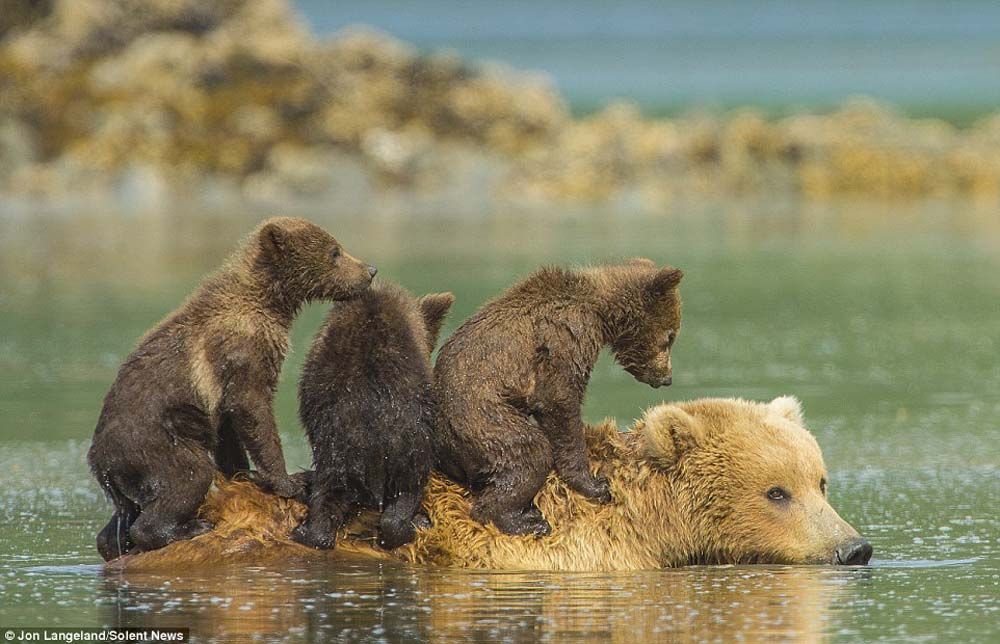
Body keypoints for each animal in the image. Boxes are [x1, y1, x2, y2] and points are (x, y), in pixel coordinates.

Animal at [87, 216, 377, 562]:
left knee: (121, 516)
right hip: (154, 442)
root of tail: (98, 459)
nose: (370, 270)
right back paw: (185, 528)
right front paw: (289, 482)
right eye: (334, 251)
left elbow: (229, 427)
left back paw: (114, 542)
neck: (268, 300)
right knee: (187, 477)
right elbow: (252, 408)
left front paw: (241, 474)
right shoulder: (241, 349)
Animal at [432, 260, 683, 536]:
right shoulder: (565, 339)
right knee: (528, 453)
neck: (600, 311)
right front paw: (596, 485)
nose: (667, 378)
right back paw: (524, 521)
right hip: (484, 420)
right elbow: (559, 402)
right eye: (670, 336)